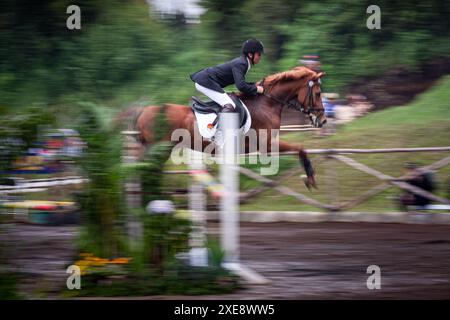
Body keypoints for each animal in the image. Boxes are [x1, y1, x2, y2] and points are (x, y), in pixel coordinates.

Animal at [118, 66, 326, 189]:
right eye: (317, 93)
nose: (322, 120)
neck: (266, 103)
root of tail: (144, 110)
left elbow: (299, 148)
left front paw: (310, 178)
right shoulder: (266, 145)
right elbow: (300, 148)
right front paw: (310, 178)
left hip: (160, 150)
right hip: (154, 148)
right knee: (139, 167)